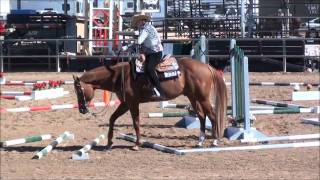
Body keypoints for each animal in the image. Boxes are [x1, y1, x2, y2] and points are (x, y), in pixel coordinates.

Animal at [73, 56, 228, 150]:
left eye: (79, 90)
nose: (82, 109)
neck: (120, 76)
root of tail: (206, 66)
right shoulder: (125, 103)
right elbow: (112, 119)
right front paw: (109, 143)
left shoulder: (132, 103)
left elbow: (136, 122)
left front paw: (136, 144)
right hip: (193, 97)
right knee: (202, 116)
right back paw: (200, 142)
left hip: (202, 98)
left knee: (212, 116)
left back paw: (214, 141)